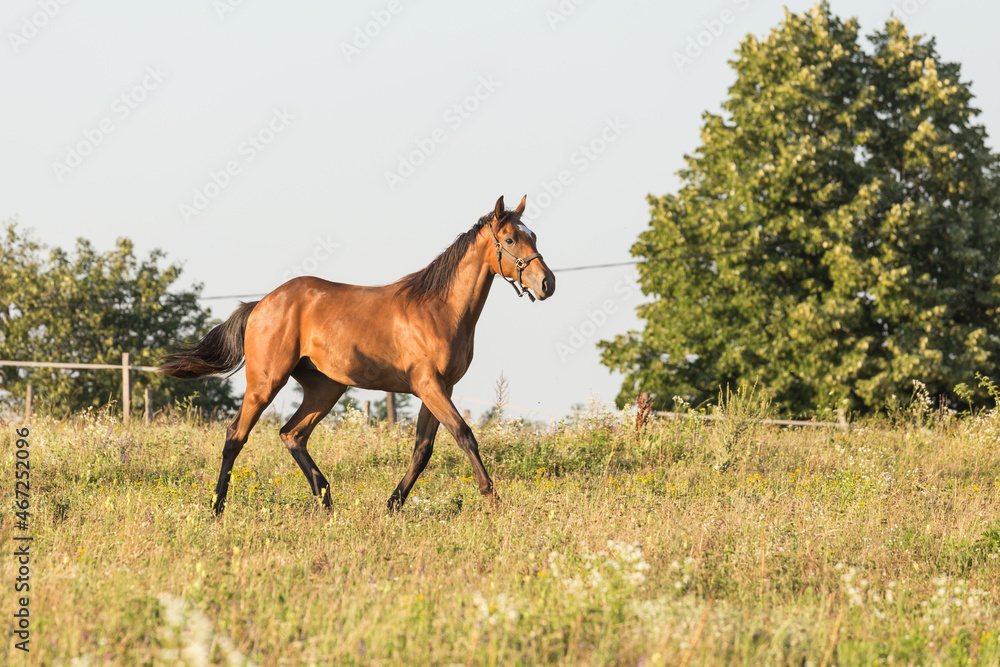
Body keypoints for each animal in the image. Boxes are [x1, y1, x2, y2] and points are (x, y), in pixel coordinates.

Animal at [159, 195, 555, 514]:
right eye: (509, 239)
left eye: (533, 236)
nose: (547, 283)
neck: (438, 309)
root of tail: (259, 305)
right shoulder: (428, 385)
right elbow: (463, 434)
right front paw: (493, 499)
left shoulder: (441, 388)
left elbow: (423, 449)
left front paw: (393, 504)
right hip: (266, 381)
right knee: (235, 436)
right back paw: (217, 507)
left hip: (325, 388)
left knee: (292, 434)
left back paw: (326, 499)